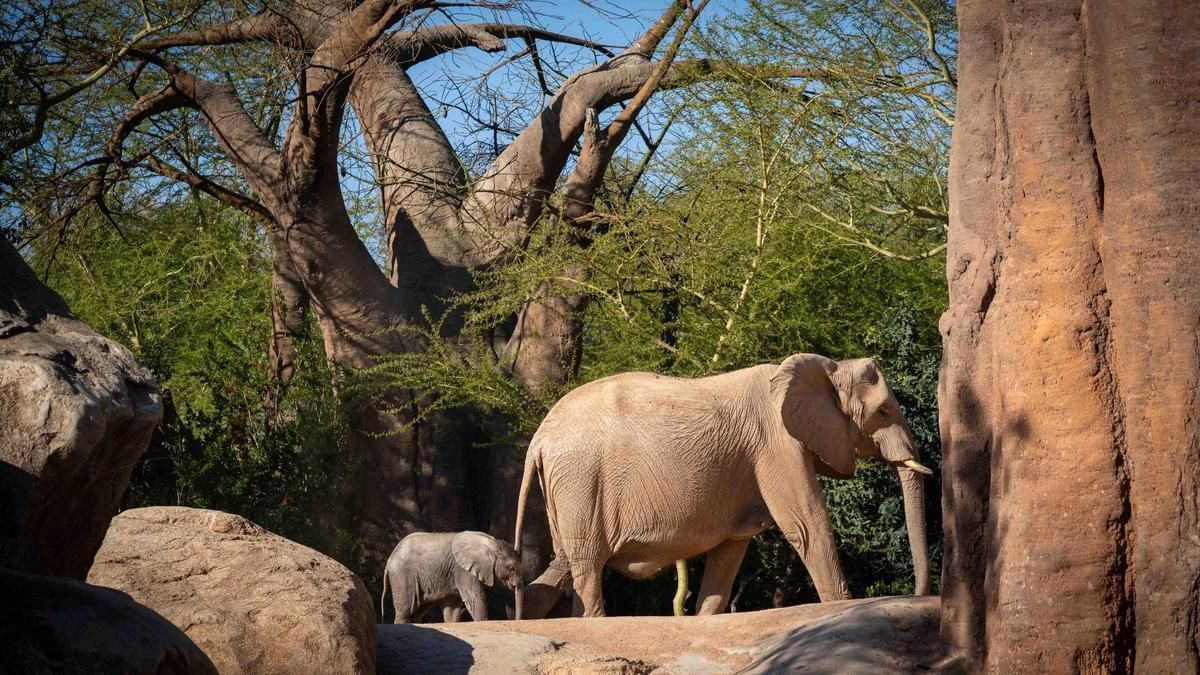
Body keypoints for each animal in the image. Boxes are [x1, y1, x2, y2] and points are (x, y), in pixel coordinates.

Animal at [379, 528, 520, 624]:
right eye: (511, 568)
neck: (490, 543)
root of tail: (390, 559)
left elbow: (452, 608)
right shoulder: (462, 570)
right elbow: (475, 598)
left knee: (416, 612)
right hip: (403, 575)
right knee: (405, 611)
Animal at [511, 353, 931, 614]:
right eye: (883, 411)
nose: (917, 594)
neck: (827, 367)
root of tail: (539, 440)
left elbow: (732, 549)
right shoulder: (777, 443)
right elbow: (807, 525)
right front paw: (840, 608)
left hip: (568, 488)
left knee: (563, 565)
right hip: (580, 481)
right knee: (585, 566)